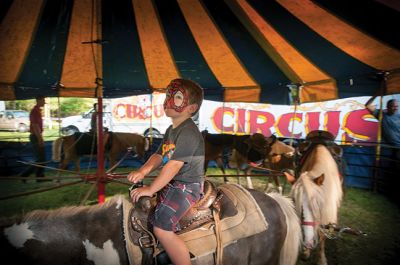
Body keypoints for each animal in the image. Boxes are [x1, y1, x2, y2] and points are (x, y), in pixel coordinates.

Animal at [288, 130, 344, 264]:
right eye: (295, 202)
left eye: (317, 204)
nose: (308, 242)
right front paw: (305, 252)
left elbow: (323, 232)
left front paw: (321, 259)